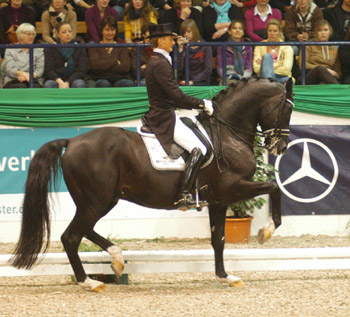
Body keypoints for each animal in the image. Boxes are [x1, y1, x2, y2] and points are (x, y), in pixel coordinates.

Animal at [10, 77, 294, 292]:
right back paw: (89, 282)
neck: (226, 133)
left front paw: (225, 277)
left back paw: (116, 259)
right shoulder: (232, 188)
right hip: (96, 200)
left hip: (103, 199)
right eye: (287, 110)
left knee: (84, 230)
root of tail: (71, 142)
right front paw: (266, 232)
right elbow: (273, 188)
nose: (281, 147)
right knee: (70, 236)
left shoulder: (218, 200)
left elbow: (219, 239)